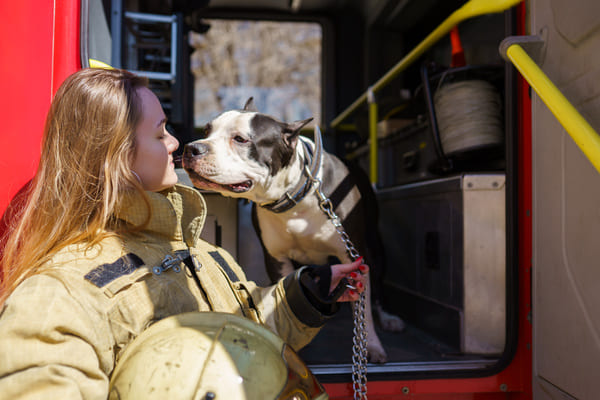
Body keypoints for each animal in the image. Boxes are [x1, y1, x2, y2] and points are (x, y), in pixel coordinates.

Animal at [179, 99, 404, 362]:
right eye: (207, 131)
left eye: (241, 139)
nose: (192, 148)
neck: (294, 196)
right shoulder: (277, 259)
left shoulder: (351, 255)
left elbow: (363, 307)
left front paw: (372, 346)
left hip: (374, 246)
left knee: (376, 287)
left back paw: (388, 318)